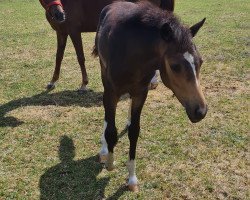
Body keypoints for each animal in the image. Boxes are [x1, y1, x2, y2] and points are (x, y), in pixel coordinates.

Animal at [39, 0, 175, 92]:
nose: (60, 14)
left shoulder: (74, 31)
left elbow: (80, 57)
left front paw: (84, 84)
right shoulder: (61, 32)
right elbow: (58, 57)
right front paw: (52, 82)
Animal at [94, 1, 207, 192]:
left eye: (200, 61)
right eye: (175, 66)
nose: (201, 111)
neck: (131, 52)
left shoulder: (141, 93)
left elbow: (134, 131)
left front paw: (132, 178)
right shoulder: (111, 92)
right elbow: (111, 130)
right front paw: (109, 162)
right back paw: (103, 150)